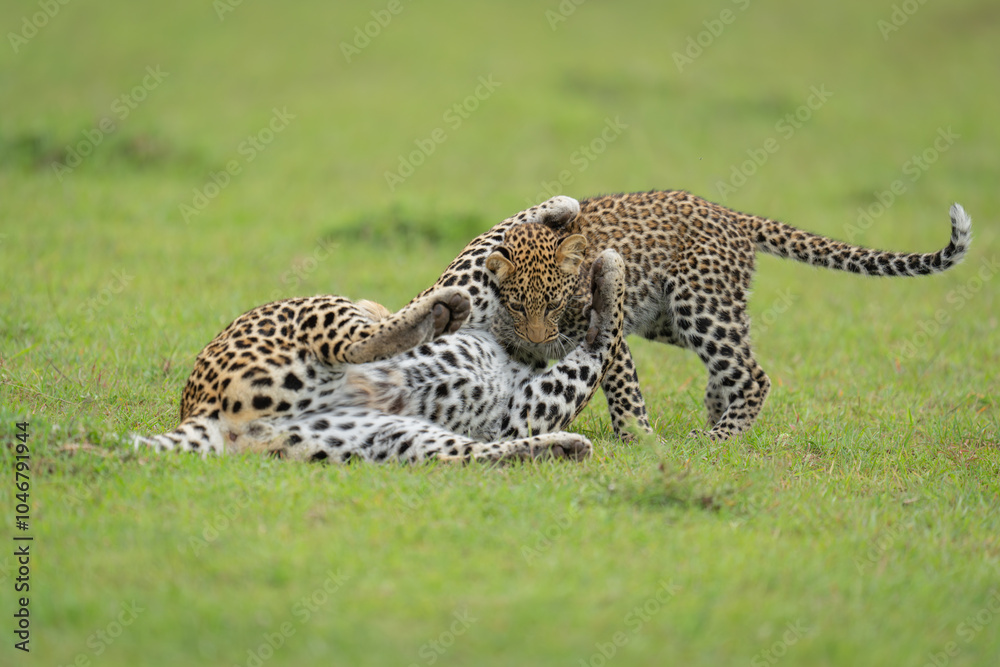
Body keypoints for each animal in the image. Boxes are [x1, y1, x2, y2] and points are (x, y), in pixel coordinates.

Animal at [133, 202, 629, 463]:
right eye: (522, 303)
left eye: (555, 304)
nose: (538, 338)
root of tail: (200, 411)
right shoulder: (464, 273)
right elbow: (497, 229)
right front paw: (568, 215)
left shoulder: (520, 411)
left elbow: (599, 346)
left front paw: (608, 272)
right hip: (311, 308)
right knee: (357, 342)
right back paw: (441, 313)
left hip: (385, 436)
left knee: (466, 455)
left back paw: (563, 447)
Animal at [421, 191, 972, 441]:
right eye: (517, 304)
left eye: (556, 303)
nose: (538, 338)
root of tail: (734, 216)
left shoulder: (603, 332)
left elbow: (621, 386)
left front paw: (636, 439)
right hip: (674, 318)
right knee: (734, 360)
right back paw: (717, 412)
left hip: (698, 304)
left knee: (753, 373)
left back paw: (718, 437)